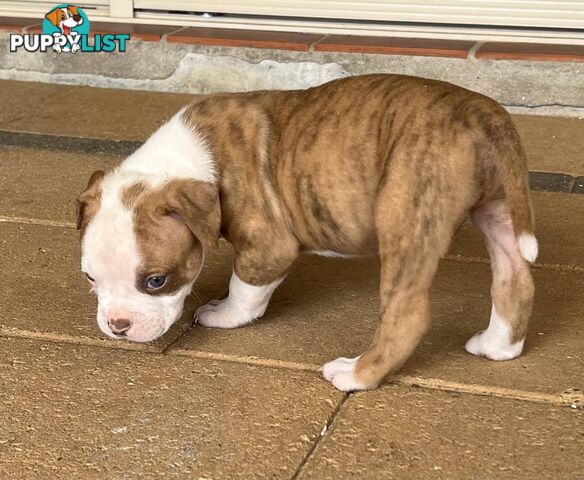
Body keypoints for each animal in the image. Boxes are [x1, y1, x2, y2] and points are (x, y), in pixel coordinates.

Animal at [78, 74, 540, 390]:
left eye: (156, 281)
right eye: (90, 278)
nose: (117, 326)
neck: (182, 162)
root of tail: (482, 114)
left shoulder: (267, 246)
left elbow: (245, 288)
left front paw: (223, 314)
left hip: (407, 213)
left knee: (407, 315)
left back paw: (356, 373)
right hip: (499, 209)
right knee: (513, 279)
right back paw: (499, 345)